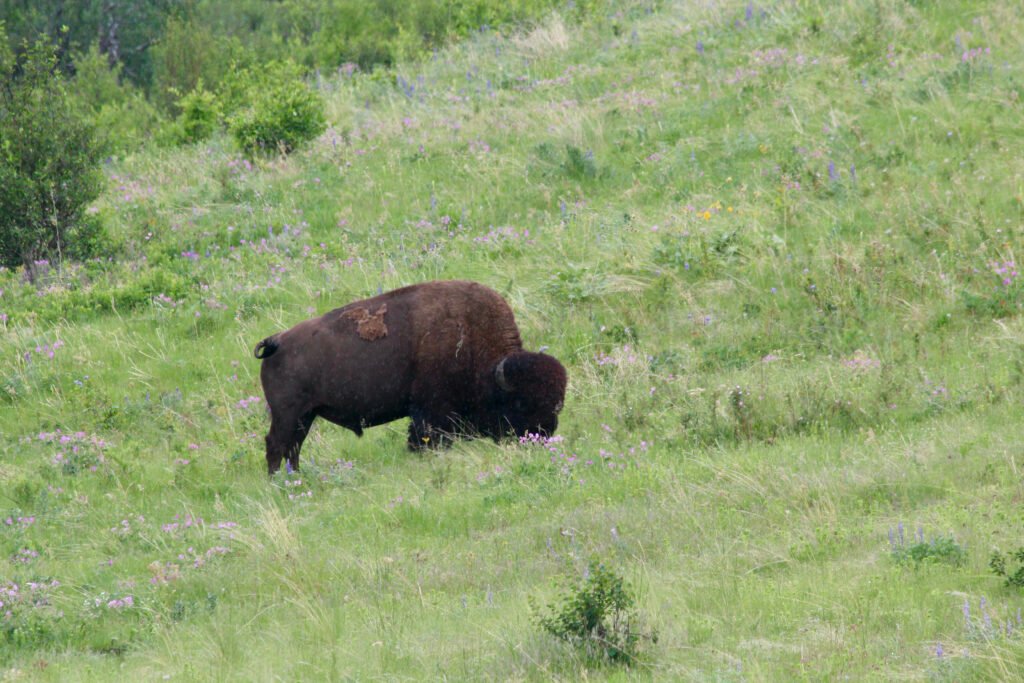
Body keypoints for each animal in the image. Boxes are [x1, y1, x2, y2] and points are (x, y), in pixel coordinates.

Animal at [253, 280, 567, 474]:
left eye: (557, 403)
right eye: (521, 403)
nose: (542, 435)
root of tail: (277, 342)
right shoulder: (431, 413)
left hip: (305, 416)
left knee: (292, 447)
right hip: (288, 414)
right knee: (277, 445)